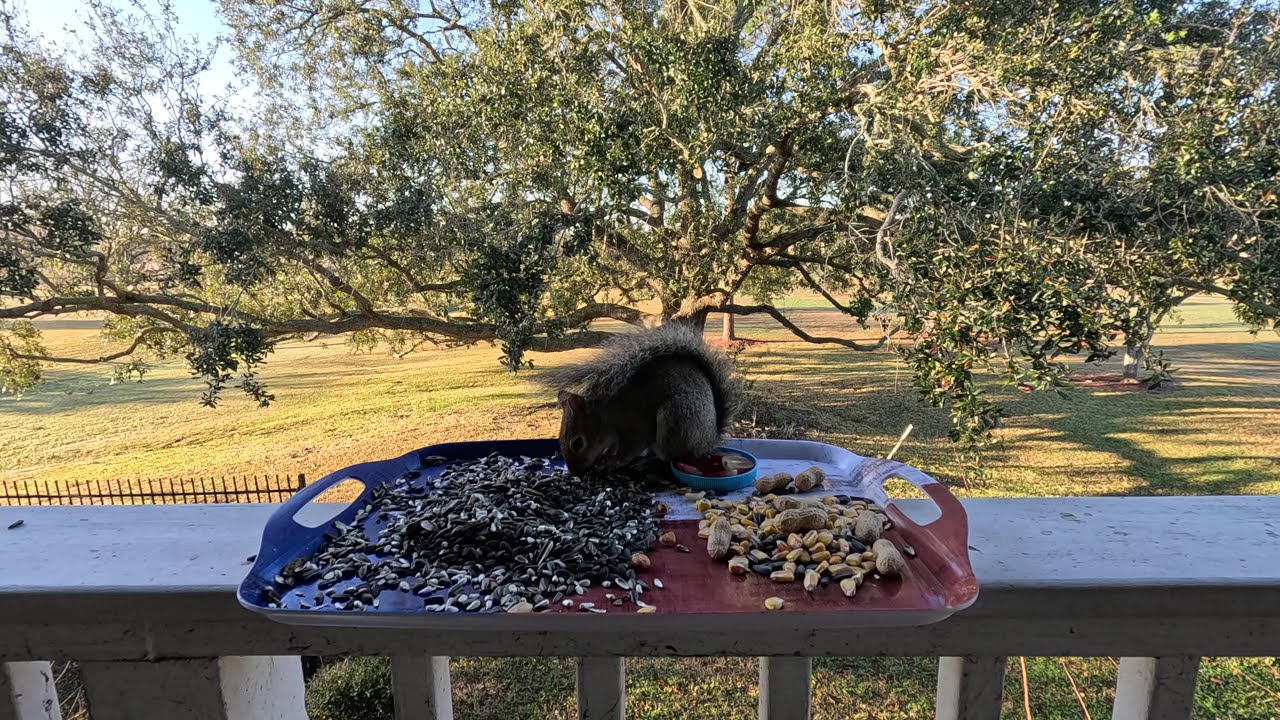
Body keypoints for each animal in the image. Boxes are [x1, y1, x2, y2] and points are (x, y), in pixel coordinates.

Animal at [537, 322, 741, 475]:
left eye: (578, 443)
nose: (575, 472)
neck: (605, 415)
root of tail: (710, 439)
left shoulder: (634, 427)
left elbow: (629, 450)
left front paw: (611, 462)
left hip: (676, 422)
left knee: (673, 458)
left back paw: (648, 463)